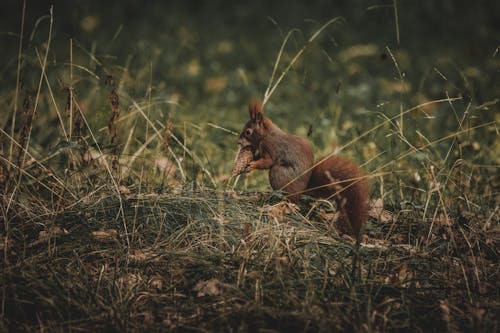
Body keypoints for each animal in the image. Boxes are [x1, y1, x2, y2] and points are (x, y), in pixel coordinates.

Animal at [236, 100, 370, 236]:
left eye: (248, 132)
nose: (238, 142)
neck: (267, 135)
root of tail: (303, 191)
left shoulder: (270, 148)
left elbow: (267, 162)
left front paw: (252, 165)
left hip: (278, 173)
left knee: (290, 198)